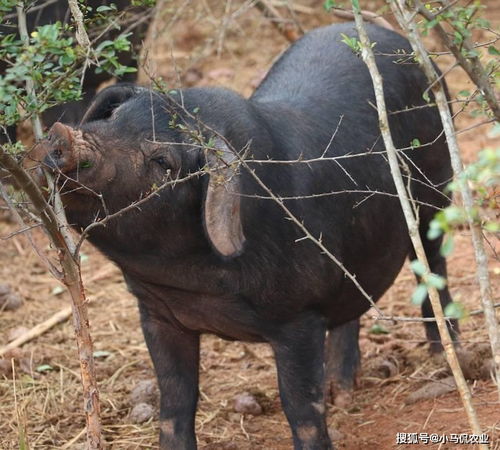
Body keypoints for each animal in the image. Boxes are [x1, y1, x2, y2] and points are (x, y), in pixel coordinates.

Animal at [31, 22, 458, 450]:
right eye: (111, 118)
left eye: (163, 162)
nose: (63, 135)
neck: (194, 282)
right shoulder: (155, 312)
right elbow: (176, 399)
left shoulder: (299, 316)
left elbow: (301, 408)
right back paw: (343, 388)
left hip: (436, 189)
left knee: (431, 263)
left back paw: (444, 356)